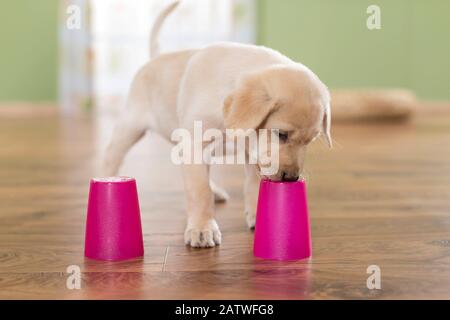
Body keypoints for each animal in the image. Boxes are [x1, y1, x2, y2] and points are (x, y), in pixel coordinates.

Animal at [101, 1, 414, 248]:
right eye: (281, 134)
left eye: (311, 141)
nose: (291, 178)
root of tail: (156, 58)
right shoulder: (197, 143)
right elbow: (198, 191)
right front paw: (202, 228)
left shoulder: (251, 150)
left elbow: (251, 183)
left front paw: (254, 213)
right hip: (130, 125)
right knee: (113, 156)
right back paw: (105, 180)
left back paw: (217, 190)